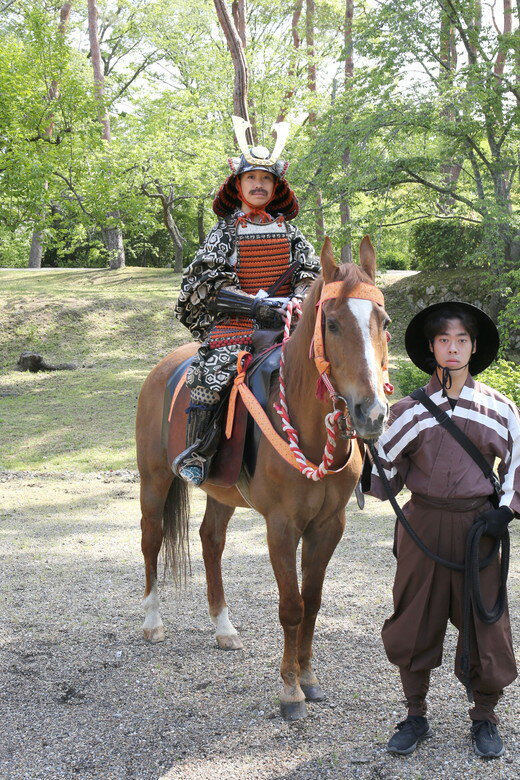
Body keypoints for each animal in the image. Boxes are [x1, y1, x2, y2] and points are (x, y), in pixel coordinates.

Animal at [136, 236, 391, 721]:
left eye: (383, 323)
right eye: (332, 323)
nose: (371, 412)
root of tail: (163, 367)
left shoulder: (329, 525)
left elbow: (313, 602)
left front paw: (308, 677)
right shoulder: (282, 526)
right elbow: (291, 606)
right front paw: (290, 691)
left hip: (220, 492)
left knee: (210, 540)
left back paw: (224, 628)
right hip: (153, 479)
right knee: (152, 540)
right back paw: (153, 621)